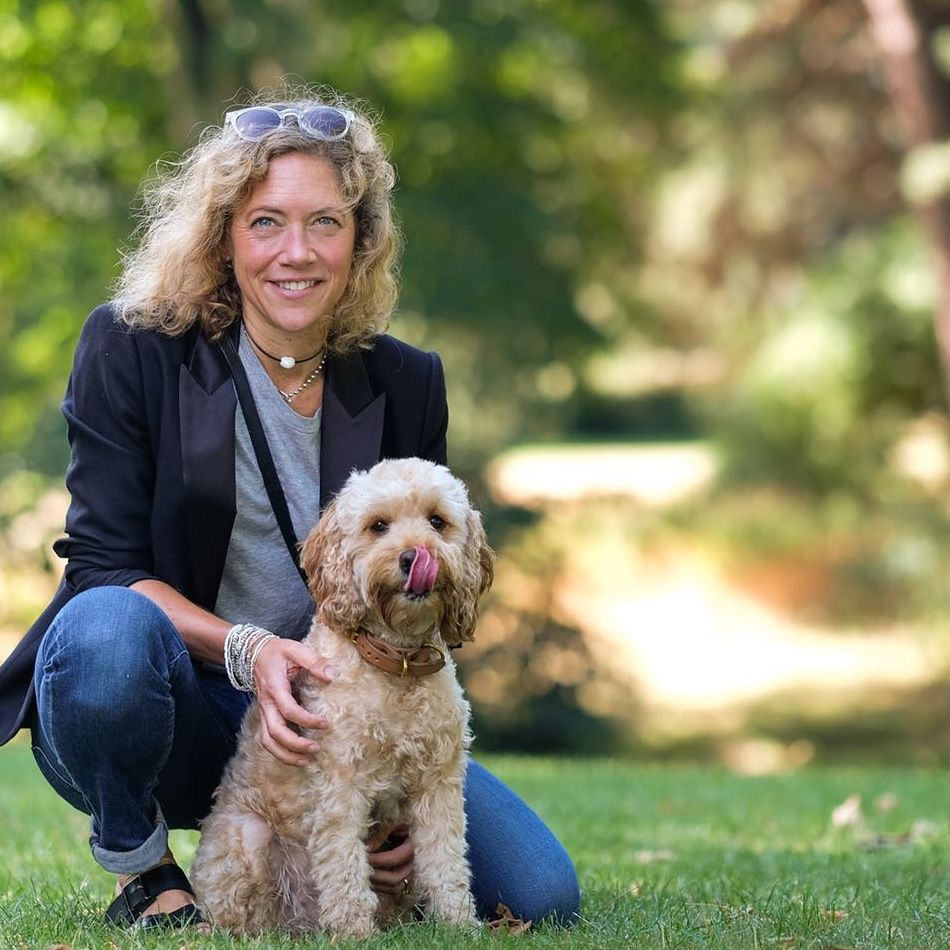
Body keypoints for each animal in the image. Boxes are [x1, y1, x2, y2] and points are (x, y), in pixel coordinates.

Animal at [189, 460, 494, 936]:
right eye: (378, 525)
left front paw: (458, 925)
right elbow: (342, 861)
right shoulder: (339, 782)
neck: (396, 661)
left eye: (437, 522)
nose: (415, 557)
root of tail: (298, 923)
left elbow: (446, 859)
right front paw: (353, 929)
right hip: (246, 840)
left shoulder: (439, 783)